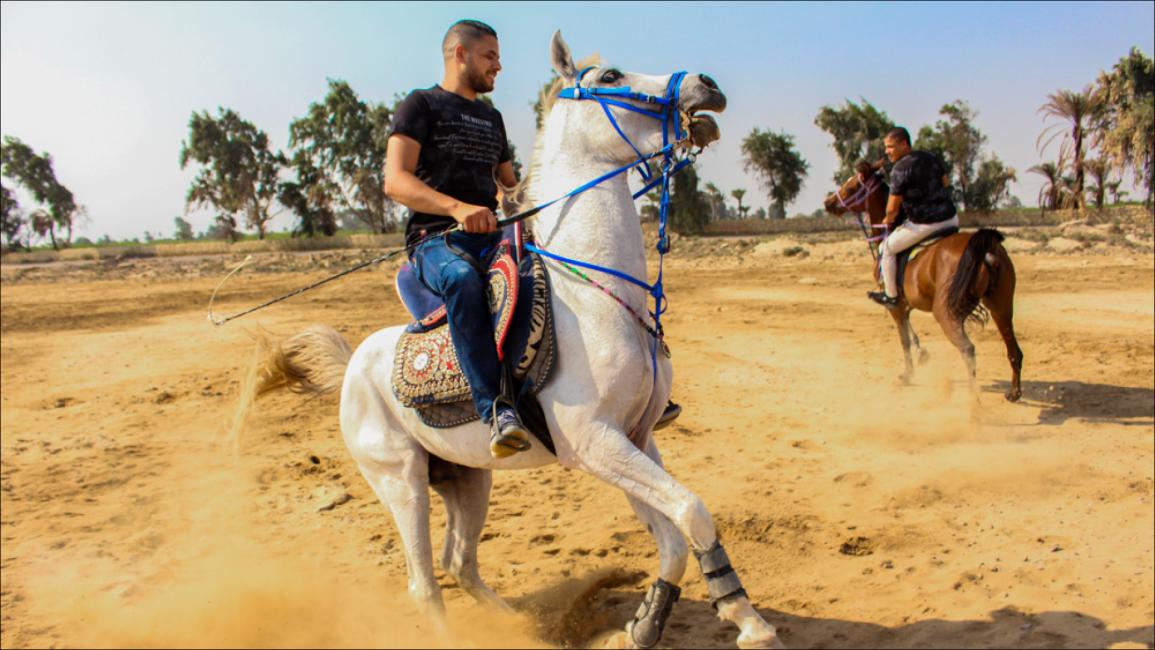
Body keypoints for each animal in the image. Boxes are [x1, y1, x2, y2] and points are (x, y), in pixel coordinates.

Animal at [248, 31, 780, 650]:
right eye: (610, 76)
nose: (706, 86)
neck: (595, 297)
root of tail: (353, 364)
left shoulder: (634, 438)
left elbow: (673, 536)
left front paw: (647, 623)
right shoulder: (593, 442)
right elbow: (692, 511)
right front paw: (750, 625)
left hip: (465, 479)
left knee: (459, 562)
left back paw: (520, 627)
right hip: (400, 481)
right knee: (424, 582)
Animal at [826, 161, 1025, 401]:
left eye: (852, 186)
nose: (828, 202)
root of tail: (986, 248)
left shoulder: (895, 304)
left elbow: (904, 339)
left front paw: (907, 374)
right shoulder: (907, 303)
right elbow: (910, 331)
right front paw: (923, 354)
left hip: (946, 312)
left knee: (968, 350)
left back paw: (972, 401)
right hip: (1000, 307)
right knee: (1014, 351)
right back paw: (1013, 392)